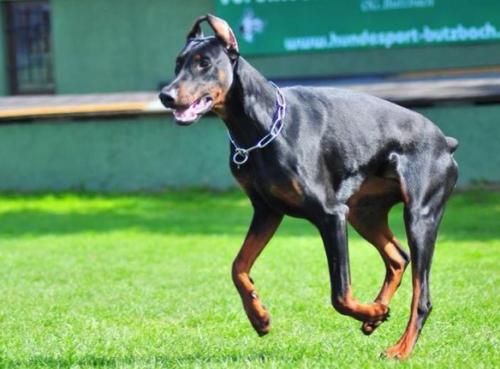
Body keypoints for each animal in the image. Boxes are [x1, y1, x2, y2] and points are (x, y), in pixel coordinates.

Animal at [158, 15, 458, 360]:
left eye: (204, 63)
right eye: (177, 64)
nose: (165, 96)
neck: (260, 128)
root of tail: (445, 142)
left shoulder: (331, 214)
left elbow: (340, 294)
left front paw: (372, 312)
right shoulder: (266, 211)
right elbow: (238, 266)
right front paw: (259, 317)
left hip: (420, 215)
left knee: (422, 296)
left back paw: (399, 346)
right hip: (364, 212)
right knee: (397, 256)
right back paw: (376, 314)